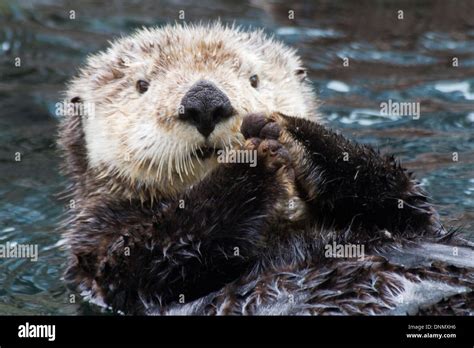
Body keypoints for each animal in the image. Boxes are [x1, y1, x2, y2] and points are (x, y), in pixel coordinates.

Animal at [60, 22, 474, 316]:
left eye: (254, 78)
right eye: (142, 85)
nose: (205, 100)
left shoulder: (413, 220)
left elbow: (403, 198)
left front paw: (288, 133)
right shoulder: (102, 252)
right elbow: (160, 252)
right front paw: (252, 163)